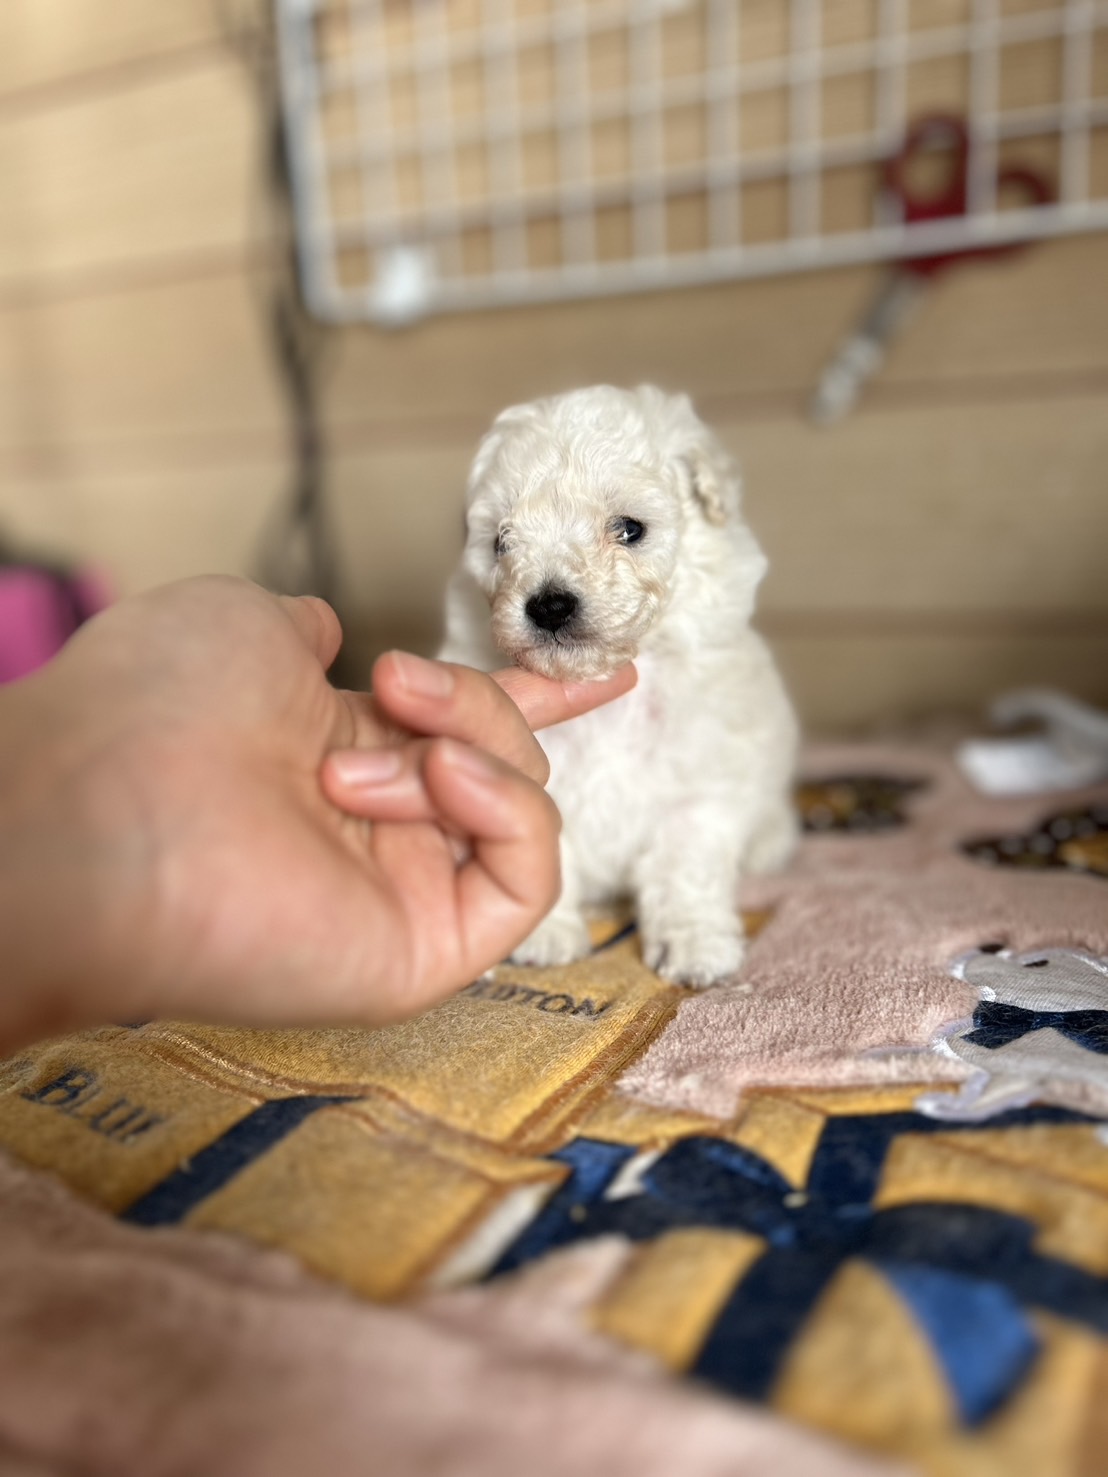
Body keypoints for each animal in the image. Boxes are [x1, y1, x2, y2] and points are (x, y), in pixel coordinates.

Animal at [440, 384, 797, 980]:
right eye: (500, 541)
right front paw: (542, 936)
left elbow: (686, 864)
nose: (549, 605)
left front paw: (695, 945)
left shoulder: (700, 783)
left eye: (630, 529)